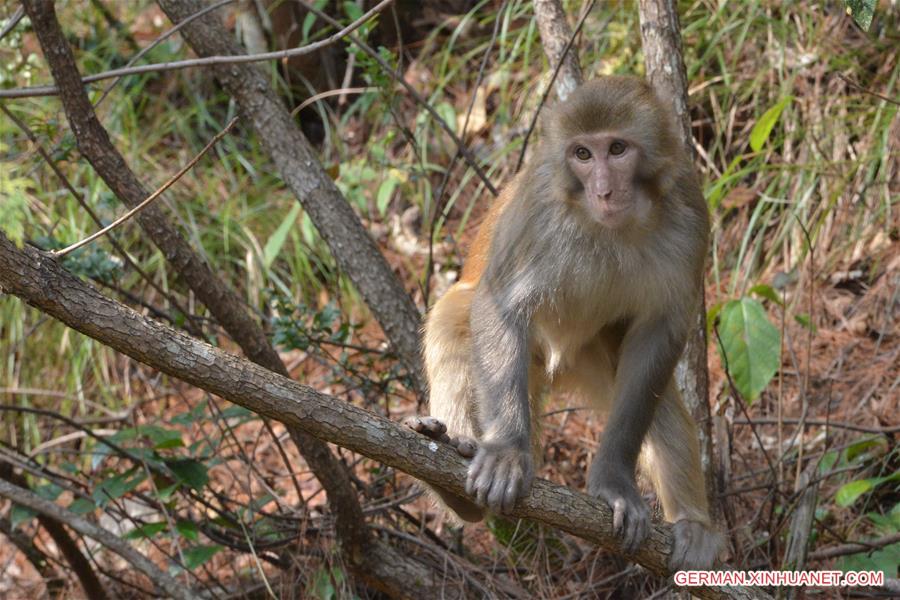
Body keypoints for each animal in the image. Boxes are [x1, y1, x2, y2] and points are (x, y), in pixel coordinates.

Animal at [408, 76, 724, 572]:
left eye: (617, 148)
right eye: (582, 154)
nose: (603, 191)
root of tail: (556, 369)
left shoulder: (690, 215)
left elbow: (660, 334)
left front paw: (613, 482)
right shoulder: (538, 214)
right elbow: (500, 303)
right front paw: (507, 452)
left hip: (594, 352)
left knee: (658, 400)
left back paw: (693, 526)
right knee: (454, 319)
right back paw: (456, 479)